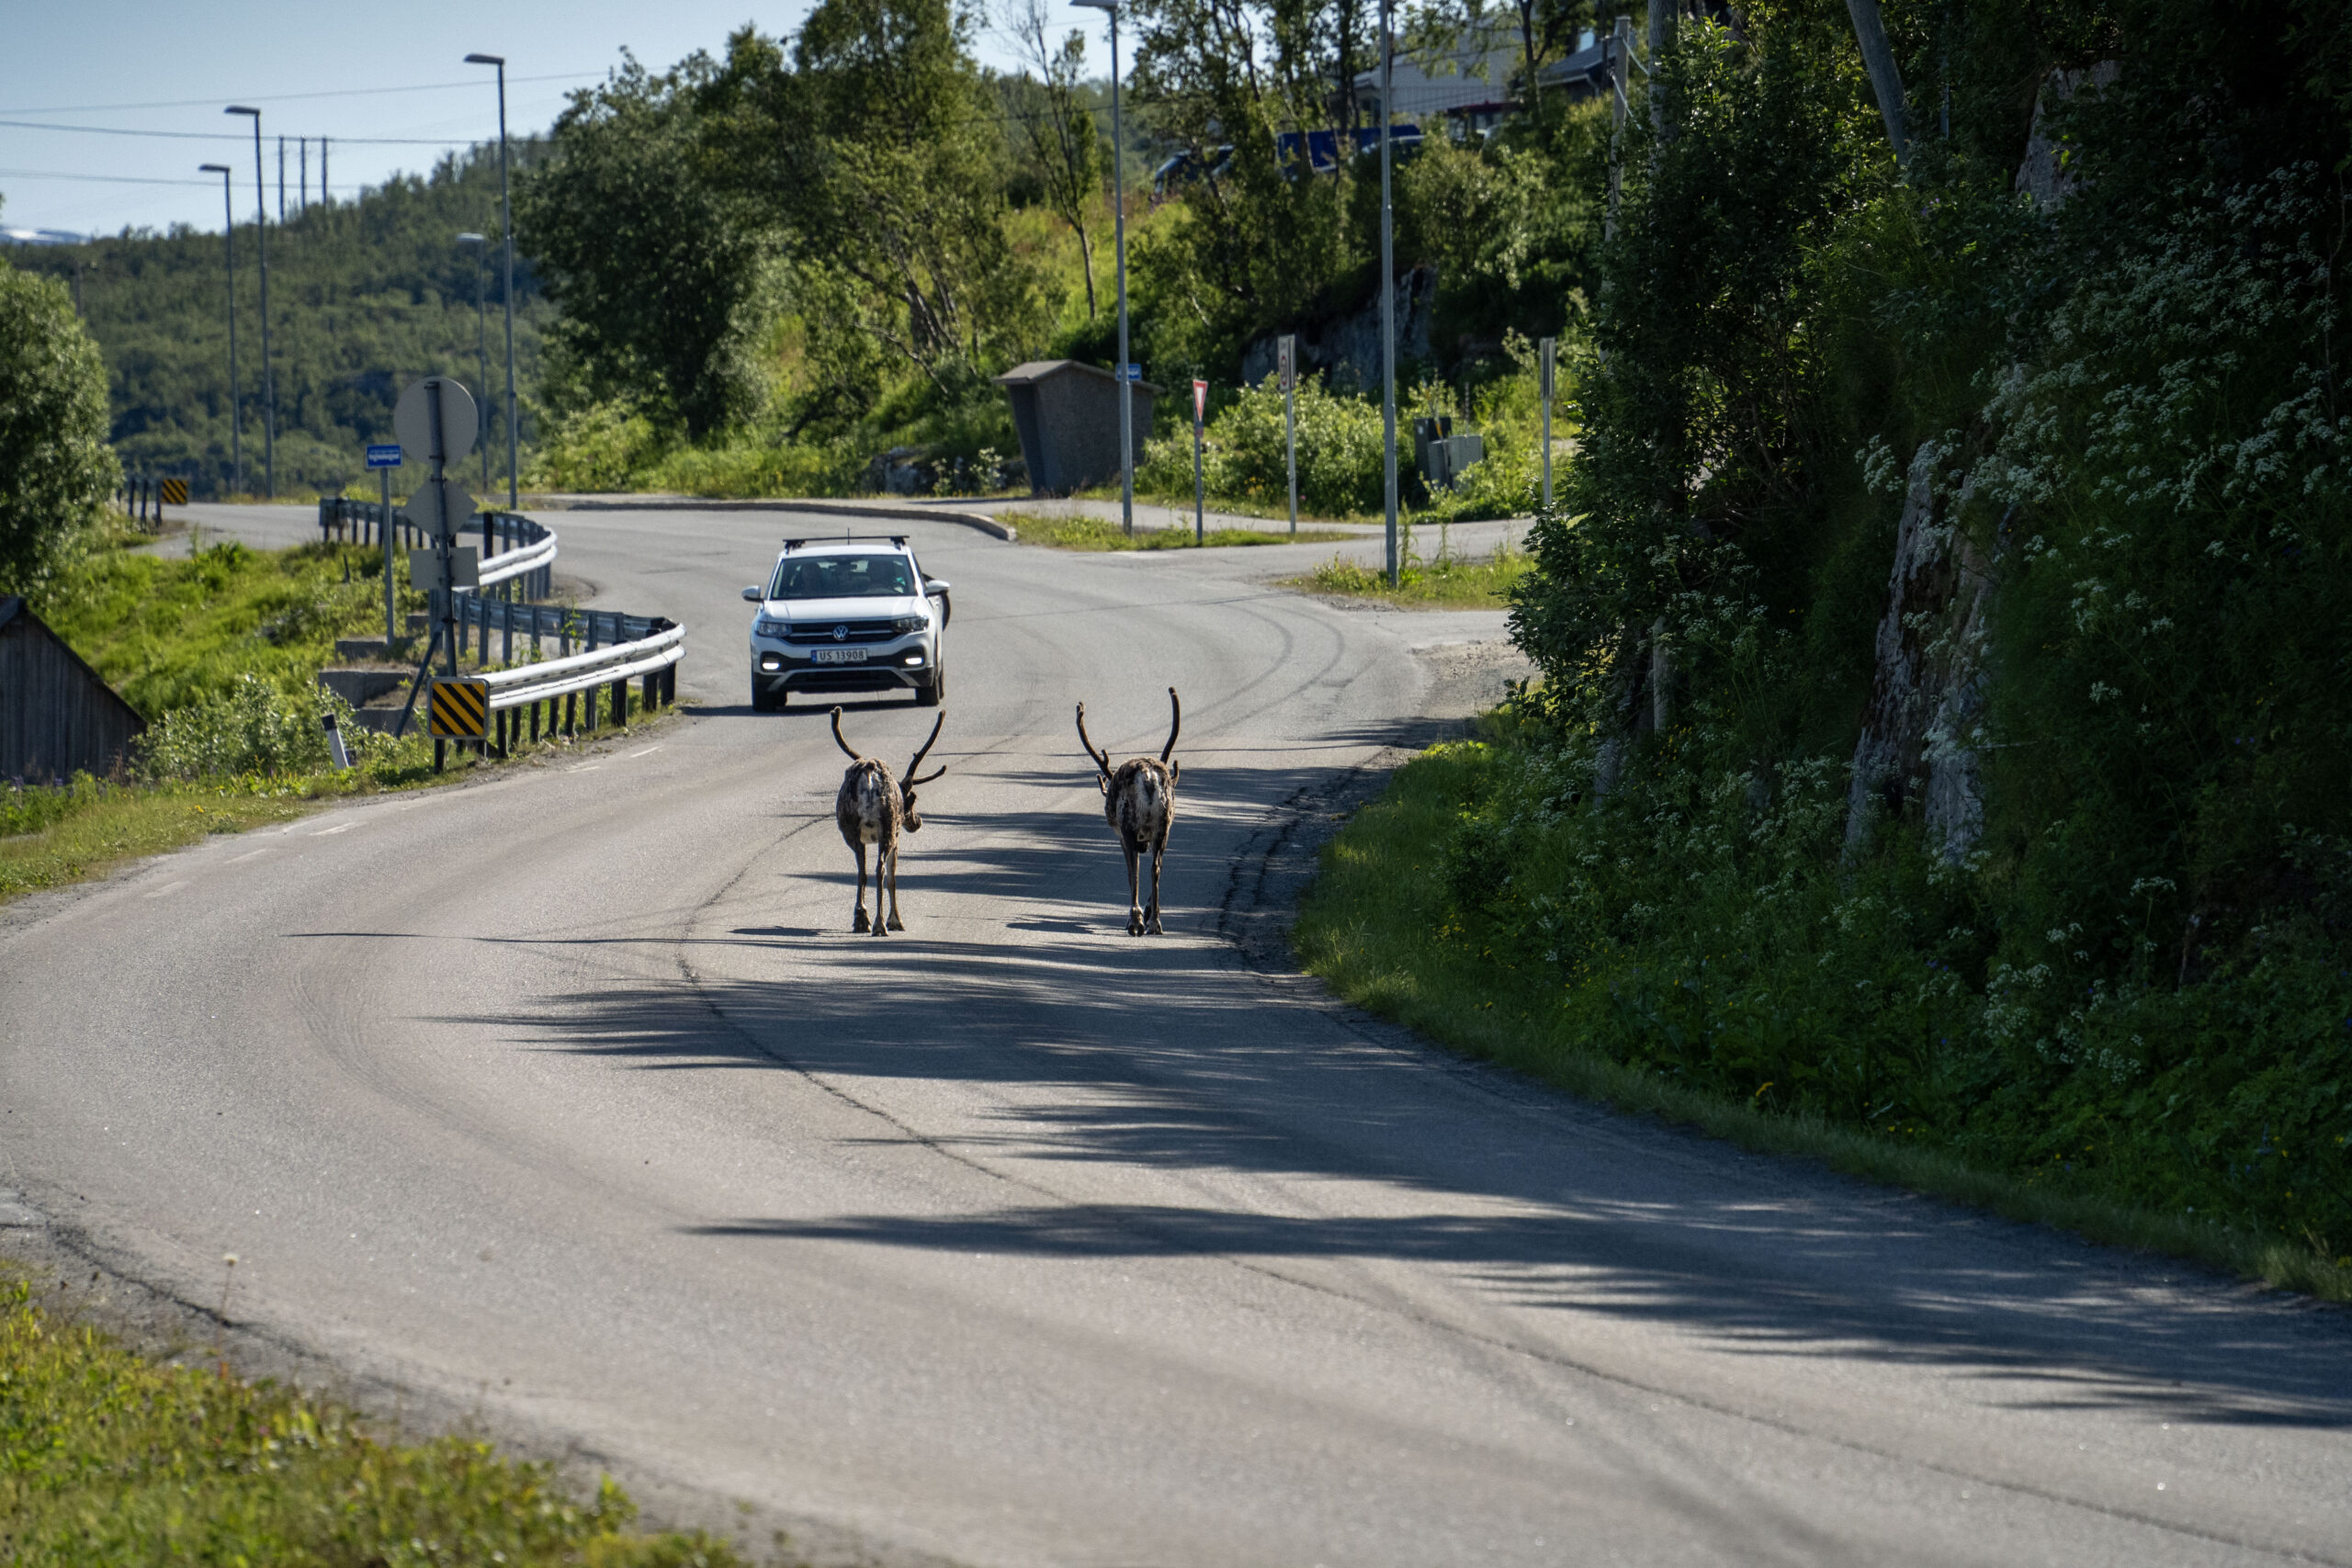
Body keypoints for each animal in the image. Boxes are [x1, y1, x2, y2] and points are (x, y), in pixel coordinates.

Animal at [831, 706, 946, 936]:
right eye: (911, 802)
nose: (918, 822)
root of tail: (869, 772)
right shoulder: (897, 836)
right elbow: (893, 878)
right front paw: (896, 920)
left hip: (851, 829)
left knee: (862, 871)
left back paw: (861, 920)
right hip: (888, 827)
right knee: (880, 871)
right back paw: (879, 924)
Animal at [1075, 687, 1182, 936]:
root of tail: (1149, 778)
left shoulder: (1122, 836)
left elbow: (1129, 873)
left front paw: (1138, 916)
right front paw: (1149, 910)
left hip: (1129, 824)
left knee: (1136, 868)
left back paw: (1135, 922)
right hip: (1164, 824)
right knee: (1156, 867)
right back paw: (1155, 923)